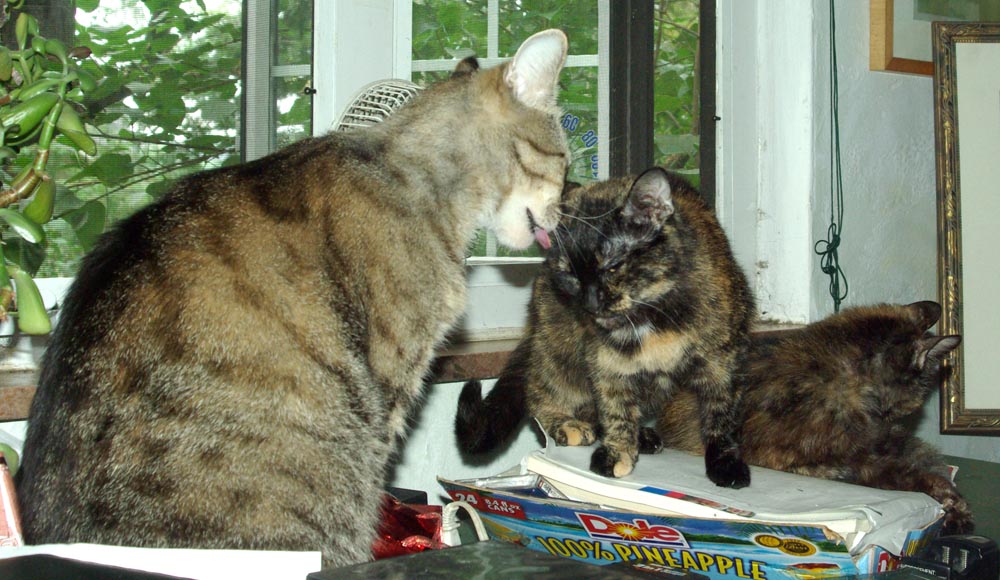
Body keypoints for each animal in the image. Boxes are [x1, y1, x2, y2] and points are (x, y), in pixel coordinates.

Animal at [458, 168, 752, 490]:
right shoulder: (607, 361)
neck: (652, 315)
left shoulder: (722, 360)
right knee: (539, 389)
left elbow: (720, 414)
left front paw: (724, 462)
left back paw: (642, 437)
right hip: (558, 348)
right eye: (569, 275)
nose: (589, 304)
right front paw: (618, 452)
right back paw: (567, 424)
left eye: (612, 266)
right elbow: (615, 409)